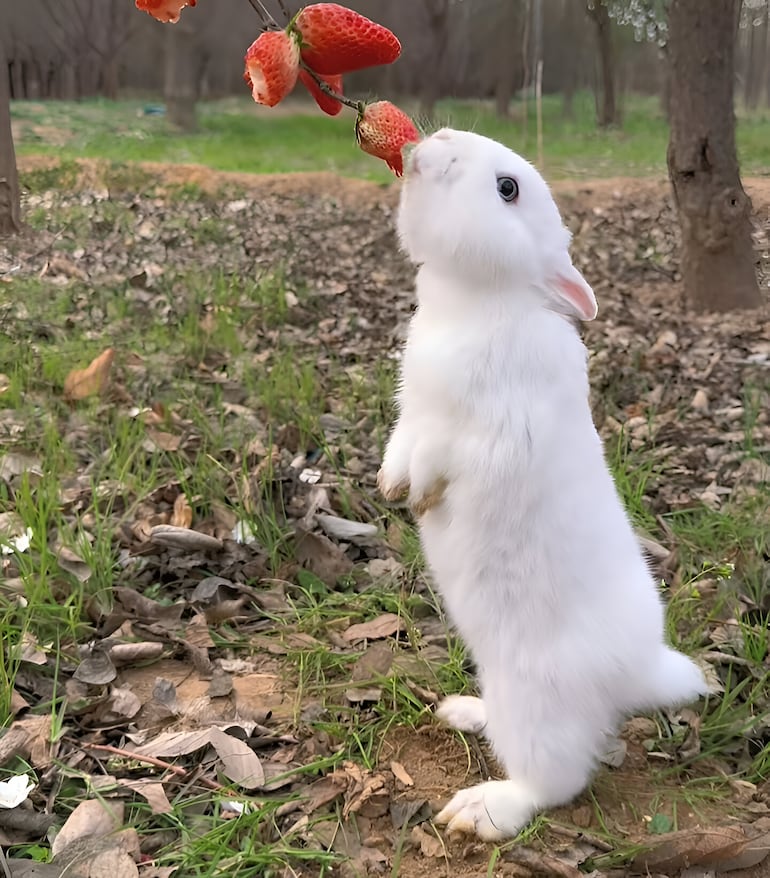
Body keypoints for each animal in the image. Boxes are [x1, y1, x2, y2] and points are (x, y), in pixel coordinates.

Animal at [377, 128, 709, 842]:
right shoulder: (410, 416)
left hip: (536, 704)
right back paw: (463, 711)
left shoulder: (481, 430)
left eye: (508, 188)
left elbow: (442, 455)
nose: (435, 138)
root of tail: (640, 672)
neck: (479, 302)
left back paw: (482, 810)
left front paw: (419, 494)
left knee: (555, 782)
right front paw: (393, 487)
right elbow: (403, 445)